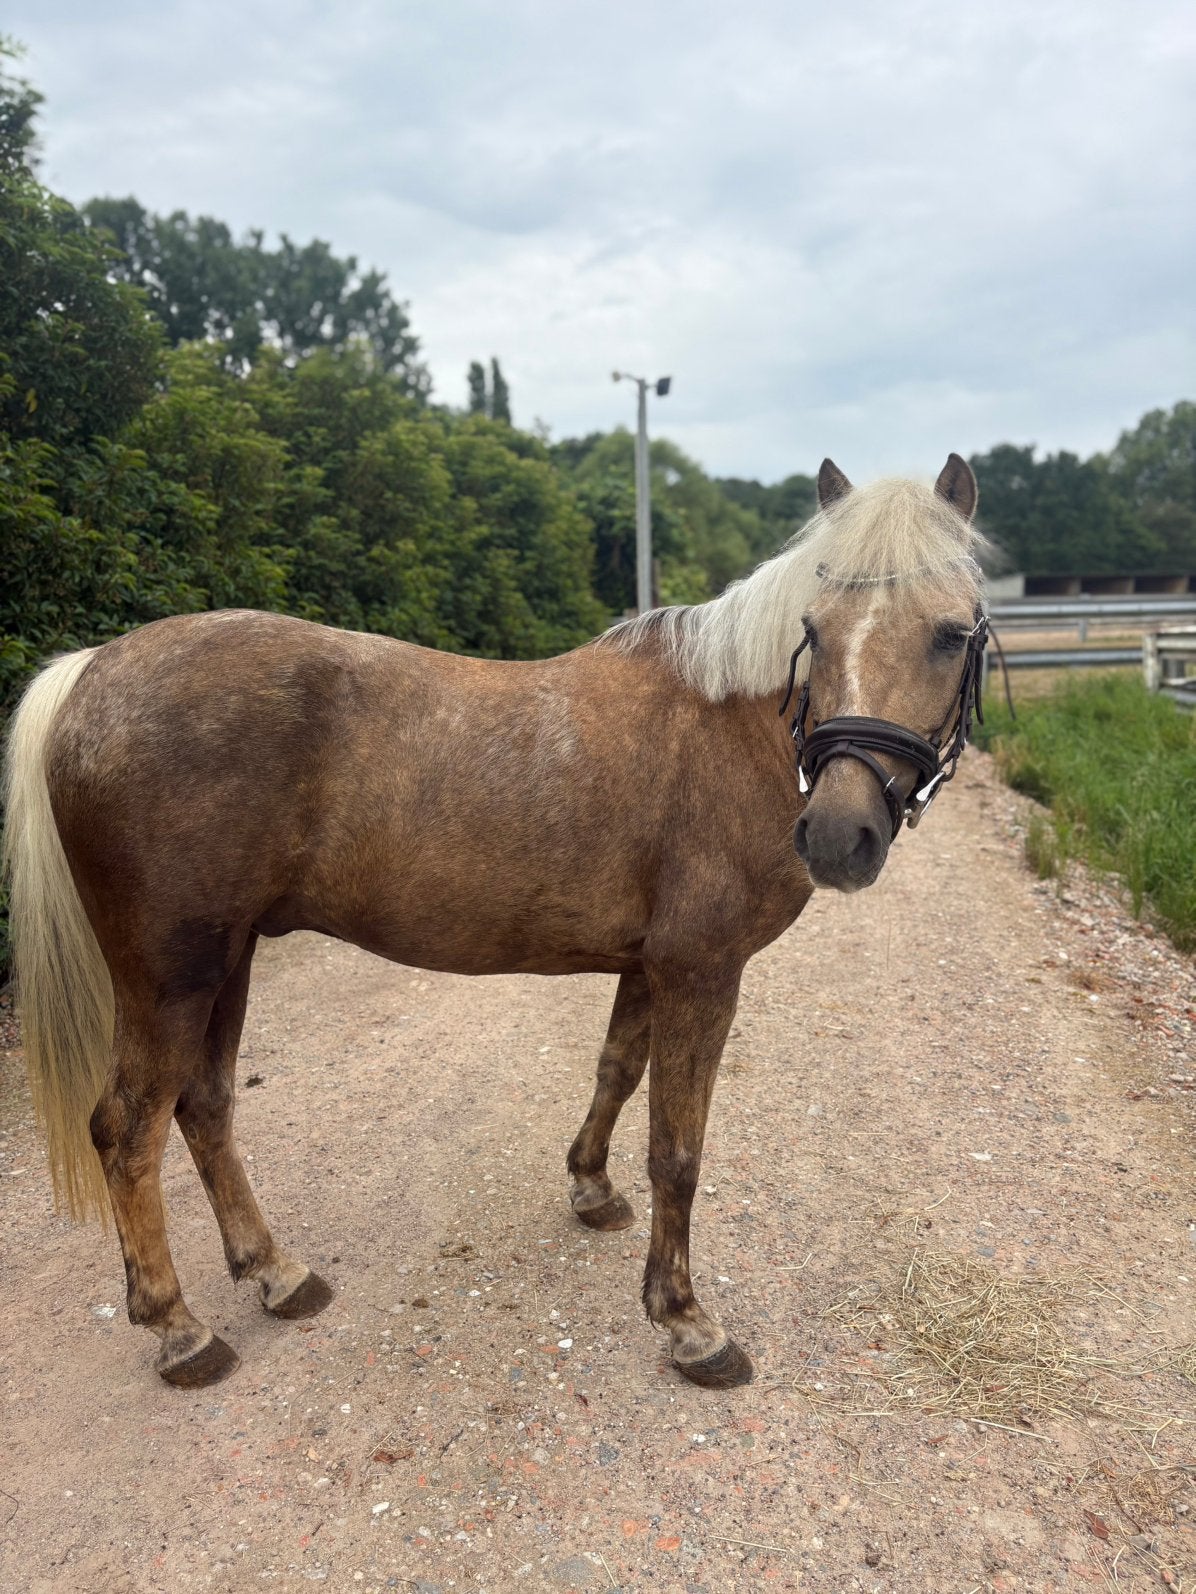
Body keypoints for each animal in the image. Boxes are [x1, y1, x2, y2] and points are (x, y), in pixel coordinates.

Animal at [2, 454, 986, 1391]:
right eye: (813, 631)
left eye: (951, 632)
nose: (839, 835)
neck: (726, 729)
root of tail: (93, 669)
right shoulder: (702, 970)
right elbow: (678, 1148)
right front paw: (685, 1321)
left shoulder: (650, 965)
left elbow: (617, 1071)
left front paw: (591, 1188)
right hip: (171, 975)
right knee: (128, 1128)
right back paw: (180, 1330)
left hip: (228, 960)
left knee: (203, 1107)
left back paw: (276, 1274)